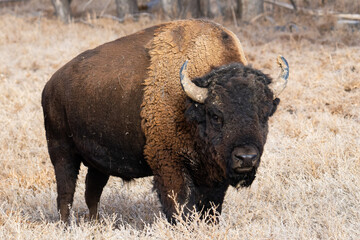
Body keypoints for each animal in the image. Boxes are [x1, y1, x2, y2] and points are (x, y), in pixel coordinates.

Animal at [41, 19, 290, 223]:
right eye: (215, 115)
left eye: (264, 114)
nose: (246, 158)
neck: (192, 106)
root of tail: (51, 84)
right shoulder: (169, 165)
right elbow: (179, 206)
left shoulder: (214, 175)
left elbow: (211, 209)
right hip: (61, 151)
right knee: (65, 192)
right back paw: (67, 225)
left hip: (98, 162)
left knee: (92, 191)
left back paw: (96, 223)